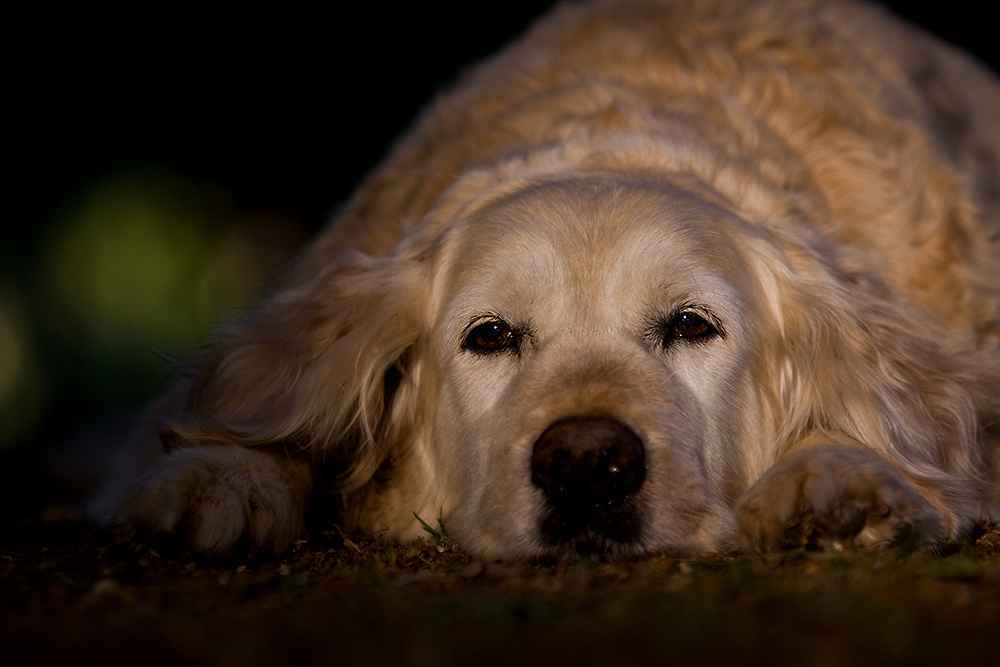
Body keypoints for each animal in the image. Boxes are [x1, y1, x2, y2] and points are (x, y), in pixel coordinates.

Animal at [94, 0, 1000, 560]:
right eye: (489, 335)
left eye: (692, 324)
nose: (586, 461)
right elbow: (261, 410)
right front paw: (216, 477)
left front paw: (841, 473)